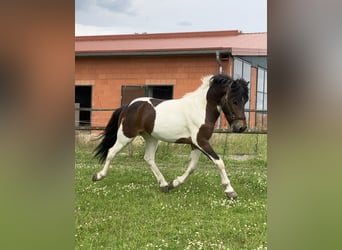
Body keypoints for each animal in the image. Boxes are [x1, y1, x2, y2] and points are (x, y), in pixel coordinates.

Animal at [93, 73, 248, 199]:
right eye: (234, 100)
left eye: (245, 100)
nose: (241, 127)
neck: (201, 108)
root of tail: (128, 106)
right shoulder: (201, 141)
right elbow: (219, 162)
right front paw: (230, 191)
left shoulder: (196, 144)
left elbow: (192, 167)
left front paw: (174, 183)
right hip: (126, 136)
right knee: (111, 152)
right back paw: (98, 176)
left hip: (151, 138)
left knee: (148, 158)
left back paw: (164, 185)